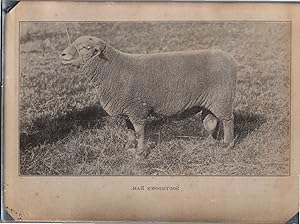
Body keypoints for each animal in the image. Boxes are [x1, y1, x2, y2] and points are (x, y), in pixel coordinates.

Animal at [59, 36, 237, 158]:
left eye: (84, 47)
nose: (62, 54)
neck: (112, 69)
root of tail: (230, 58)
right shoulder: (128, 109)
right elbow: (130, 130)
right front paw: (129, 147)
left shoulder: (137, 108)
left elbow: (139, 132)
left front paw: (140, 153)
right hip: (211, 103)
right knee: (212, 121)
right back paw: (210, 142)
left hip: (222, 98)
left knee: (228, 120)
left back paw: (227, 145)